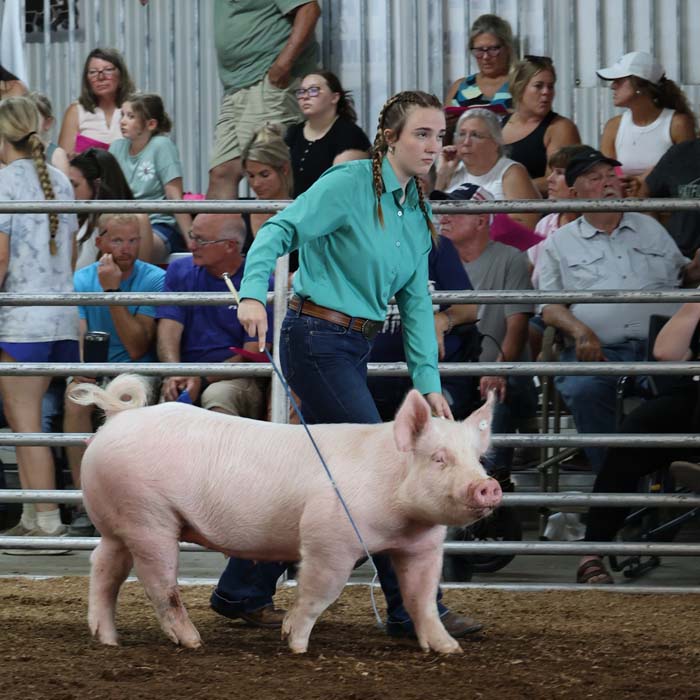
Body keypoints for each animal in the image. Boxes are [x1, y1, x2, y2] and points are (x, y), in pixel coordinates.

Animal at [69, 374, 502, 655]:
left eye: (477, 458)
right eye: (439, 458)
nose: (489, 485)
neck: (399, 516)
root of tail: (119, 417)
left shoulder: (422, 546)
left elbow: (422, 597)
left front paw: (450, 648)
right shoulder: (330, 538)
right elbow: (318, 592)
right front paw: (296, 645)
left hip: (120, 520)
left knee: (104, 566)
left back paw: (108, 639)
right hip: (149, 516)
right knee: (159, 583)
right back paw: (192, 642)